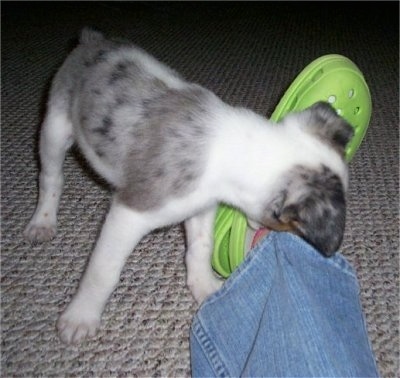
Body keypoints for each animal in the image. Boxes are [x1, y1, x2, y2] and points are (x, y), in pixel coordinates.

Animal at [23, 28, 354, 344]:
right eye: (293, 224)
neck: (232, 147)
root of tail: (92, 40)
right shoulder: (130, 213)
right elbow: (102, 271)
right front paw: (80, 317)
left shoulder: (201, 206)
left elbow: (200, 246)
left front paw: (204, 286)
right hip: (55, 128)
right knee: (50, 178)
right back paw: (42, 222)